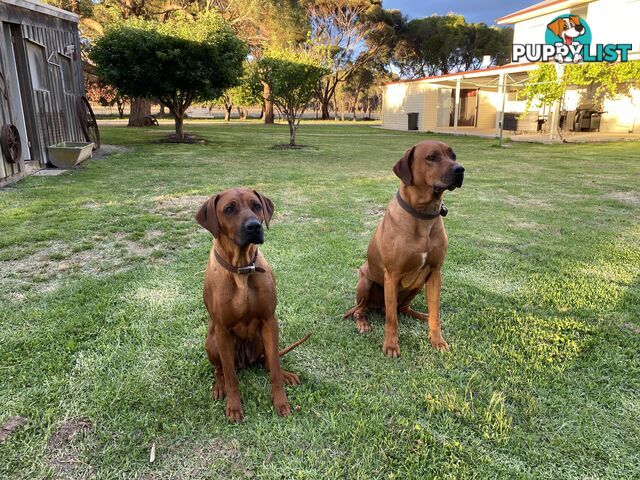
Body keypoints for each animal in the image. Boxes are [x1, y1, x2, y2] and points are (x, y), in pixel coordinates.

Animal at [196, 188, 308, 420]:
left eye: (256, 206)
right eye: (229, 209)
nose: (254, 226)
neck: (242, 267)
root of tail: (246, 361)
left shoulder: (269, 321)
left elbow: (274, 368)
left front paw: (281, 402)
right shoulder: (222, 330)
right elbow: (231, 377)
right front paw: (234, 407)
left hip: (261, 339)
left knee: (268, 361)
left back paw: (286, 374)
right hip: (212, 342)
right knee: (220, 370)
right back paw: (219, 386)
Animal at [344, 139, 464, 356]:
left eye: (453, 156)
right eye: (431, 157)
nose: (460, 169)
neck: (423, 214)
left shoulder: (435, 272)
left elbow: (435, 313)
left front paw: (437, 340)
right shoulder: (392, 275)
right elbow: (392, 320)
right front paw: (391, 345)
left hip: (418, 284)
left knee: (403, 309)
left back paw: (421, 315)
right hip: (365, 282)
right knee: (362, 310)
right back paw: (363, 323)